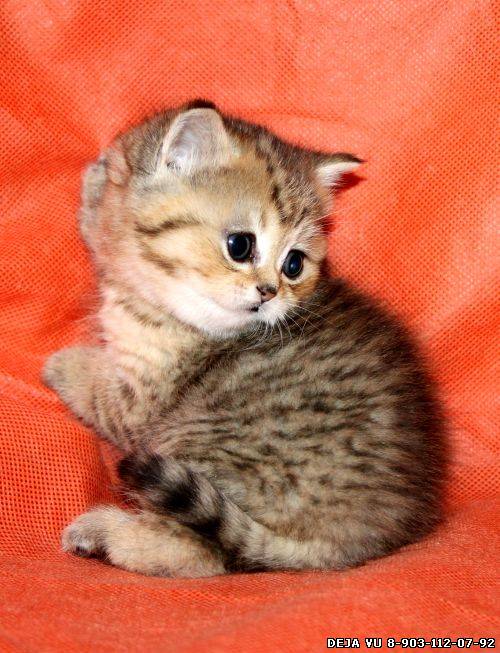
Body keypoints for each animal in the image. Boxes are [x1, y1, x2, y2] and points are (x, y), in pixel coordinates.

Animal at [43, 100, 443, 577]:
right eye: (240, 245)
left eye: (293, 264)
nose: (270, 291)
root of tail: (352, 542)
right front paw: (98, 182)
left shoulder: (138, 405)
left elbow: (96, 391)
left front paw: (61, 363)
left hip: (192, 446)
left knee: (201, 550)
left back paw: (104, 534)